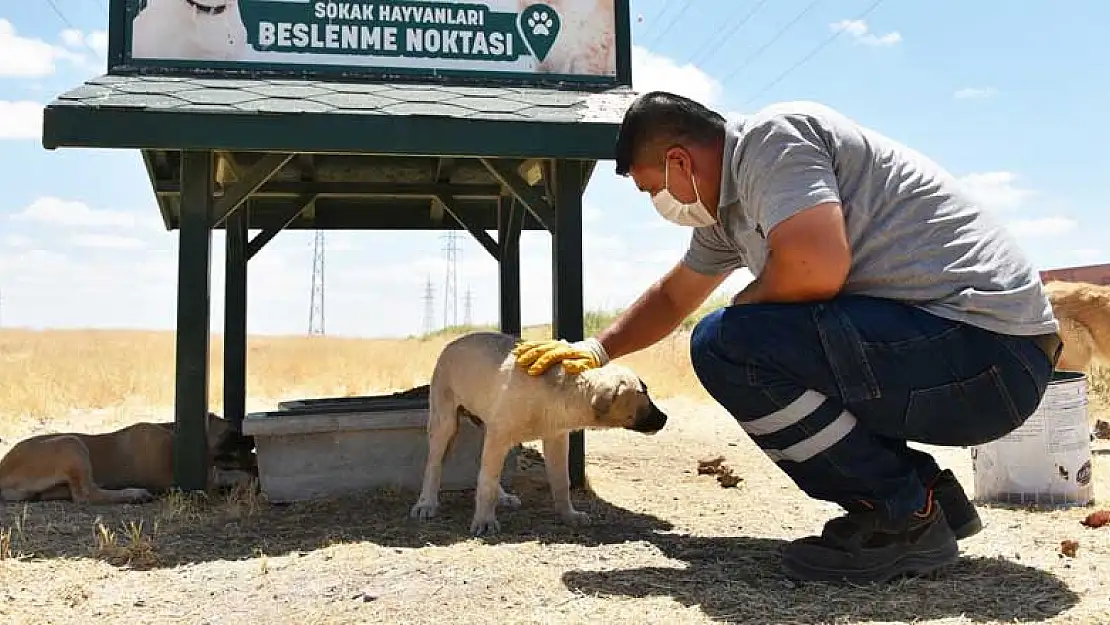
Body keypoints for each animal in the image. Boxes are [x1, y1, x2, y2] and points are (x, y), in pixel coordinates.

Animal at [0, 412, 254, 506]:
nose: (251, 440)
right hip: (71, 443)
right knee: (86, 495)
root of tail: (3, 466)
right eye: (232, 433)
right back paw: (133, 494)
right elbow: (227, 474)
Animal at [410, 330, 661, 535]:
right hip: (444, 422)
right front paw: (484, 520)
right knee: (434, 464)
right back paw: (426, 503)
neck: (560, 390)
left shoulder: (555, 439)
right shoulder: (499, 437)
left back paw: (503, 497)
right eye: (644, 391)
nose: (665, 418)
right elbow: (486, 482)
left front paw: (569, 515)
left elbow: (561, 481)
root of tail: (452, 343)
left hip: (485, 426)